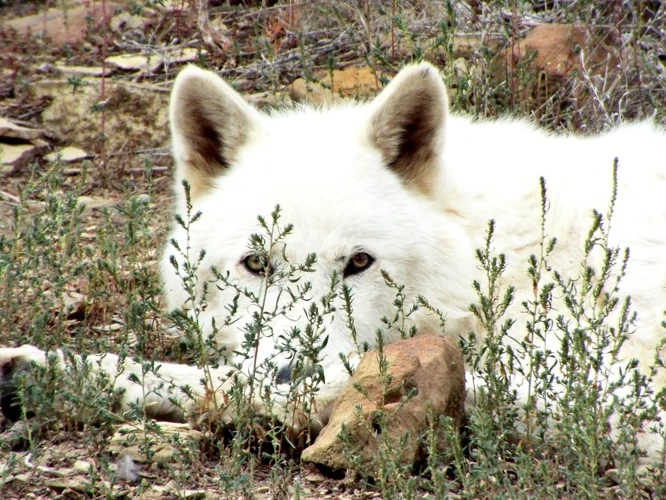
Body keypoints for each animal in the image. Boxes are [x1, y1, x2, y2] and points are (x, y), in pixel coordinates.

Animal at [1, 63, 664, 464]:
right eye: (255, 264)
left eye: (360, 264)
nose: (288, 374)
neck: (514, 256)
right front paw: (44, 368)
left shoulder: (619, 389)